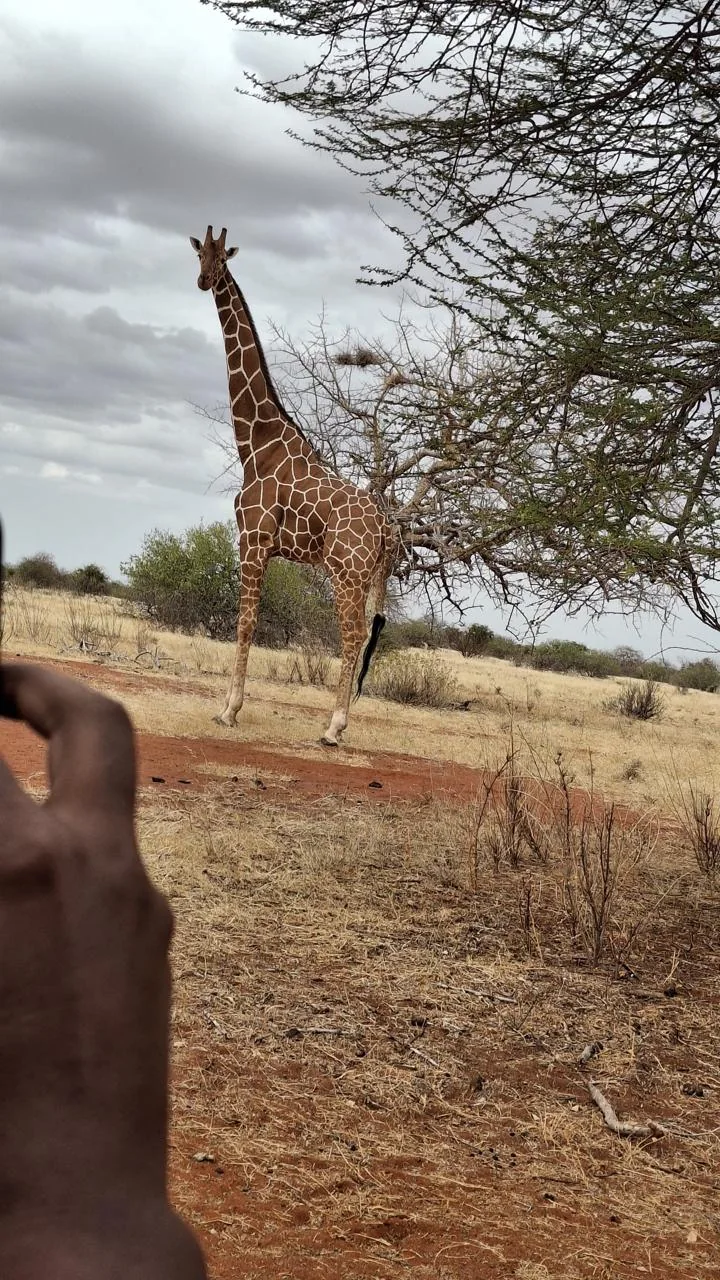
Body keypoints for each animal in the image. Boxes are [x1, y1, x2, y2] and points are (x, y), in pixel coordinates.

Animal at [190, 225, 395, 746]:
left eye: (223, 258)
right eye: (200, 254)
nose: (204, 280)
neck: (254, 442)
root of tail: (388, 529)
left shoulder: (252, 539)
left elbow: (244, 623)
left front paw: (229, 710)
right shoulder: (261, 546)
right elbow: (251, 622)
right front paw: (230, 706)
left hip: (346, 573)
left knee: (352, 636)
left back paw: (334, 727)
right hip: (363, 577)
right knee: (363, 636)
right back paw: (339, 723)